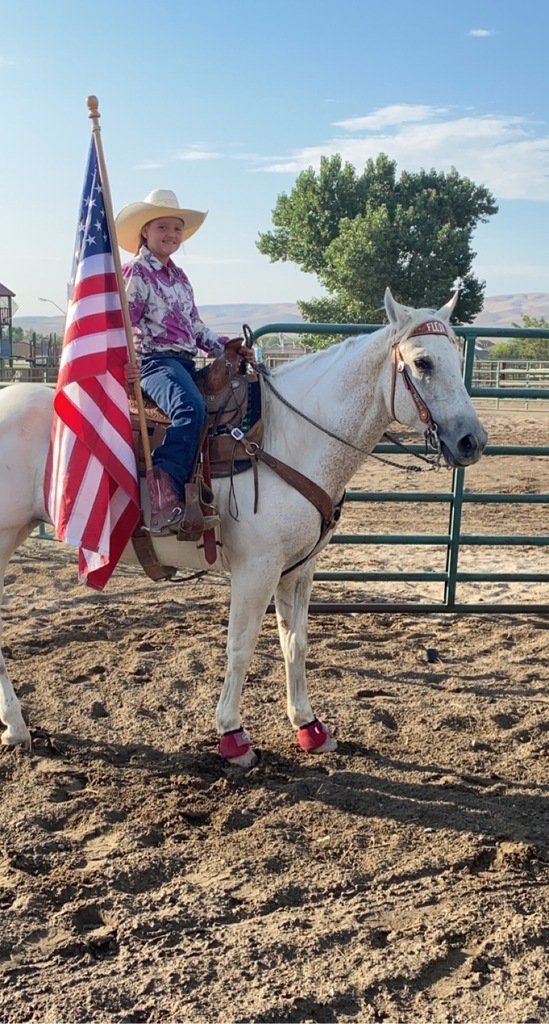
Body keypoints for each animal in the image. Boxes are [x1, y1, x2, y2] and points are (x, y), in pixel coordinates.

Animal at [1, 292, 489, 765]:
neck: (287, 438)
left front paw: (309, 726)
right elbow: (241, 646)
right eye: (423, 362)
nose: (473, 441)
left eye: (456, 354)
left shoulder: (298, 570)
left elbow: (296, 643)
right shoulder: (257, 569)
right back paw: (17, 726)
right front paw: (232, 735)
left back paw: (17, 727)